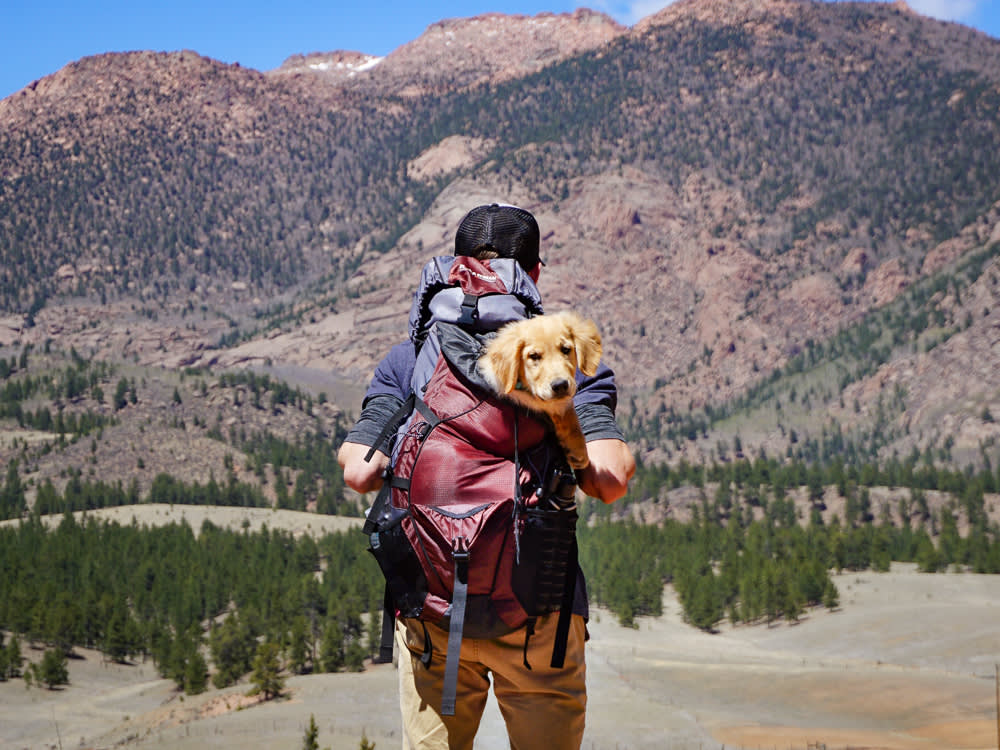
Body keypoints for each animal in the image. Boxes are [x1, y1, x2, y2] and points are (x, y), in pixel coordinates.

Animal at [478, 312, 600, 470]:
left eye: (566, 349)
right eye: (534, 356)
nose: (560, 385)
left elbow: (567, 410)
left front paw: (577, 449)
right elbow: (549, 404)